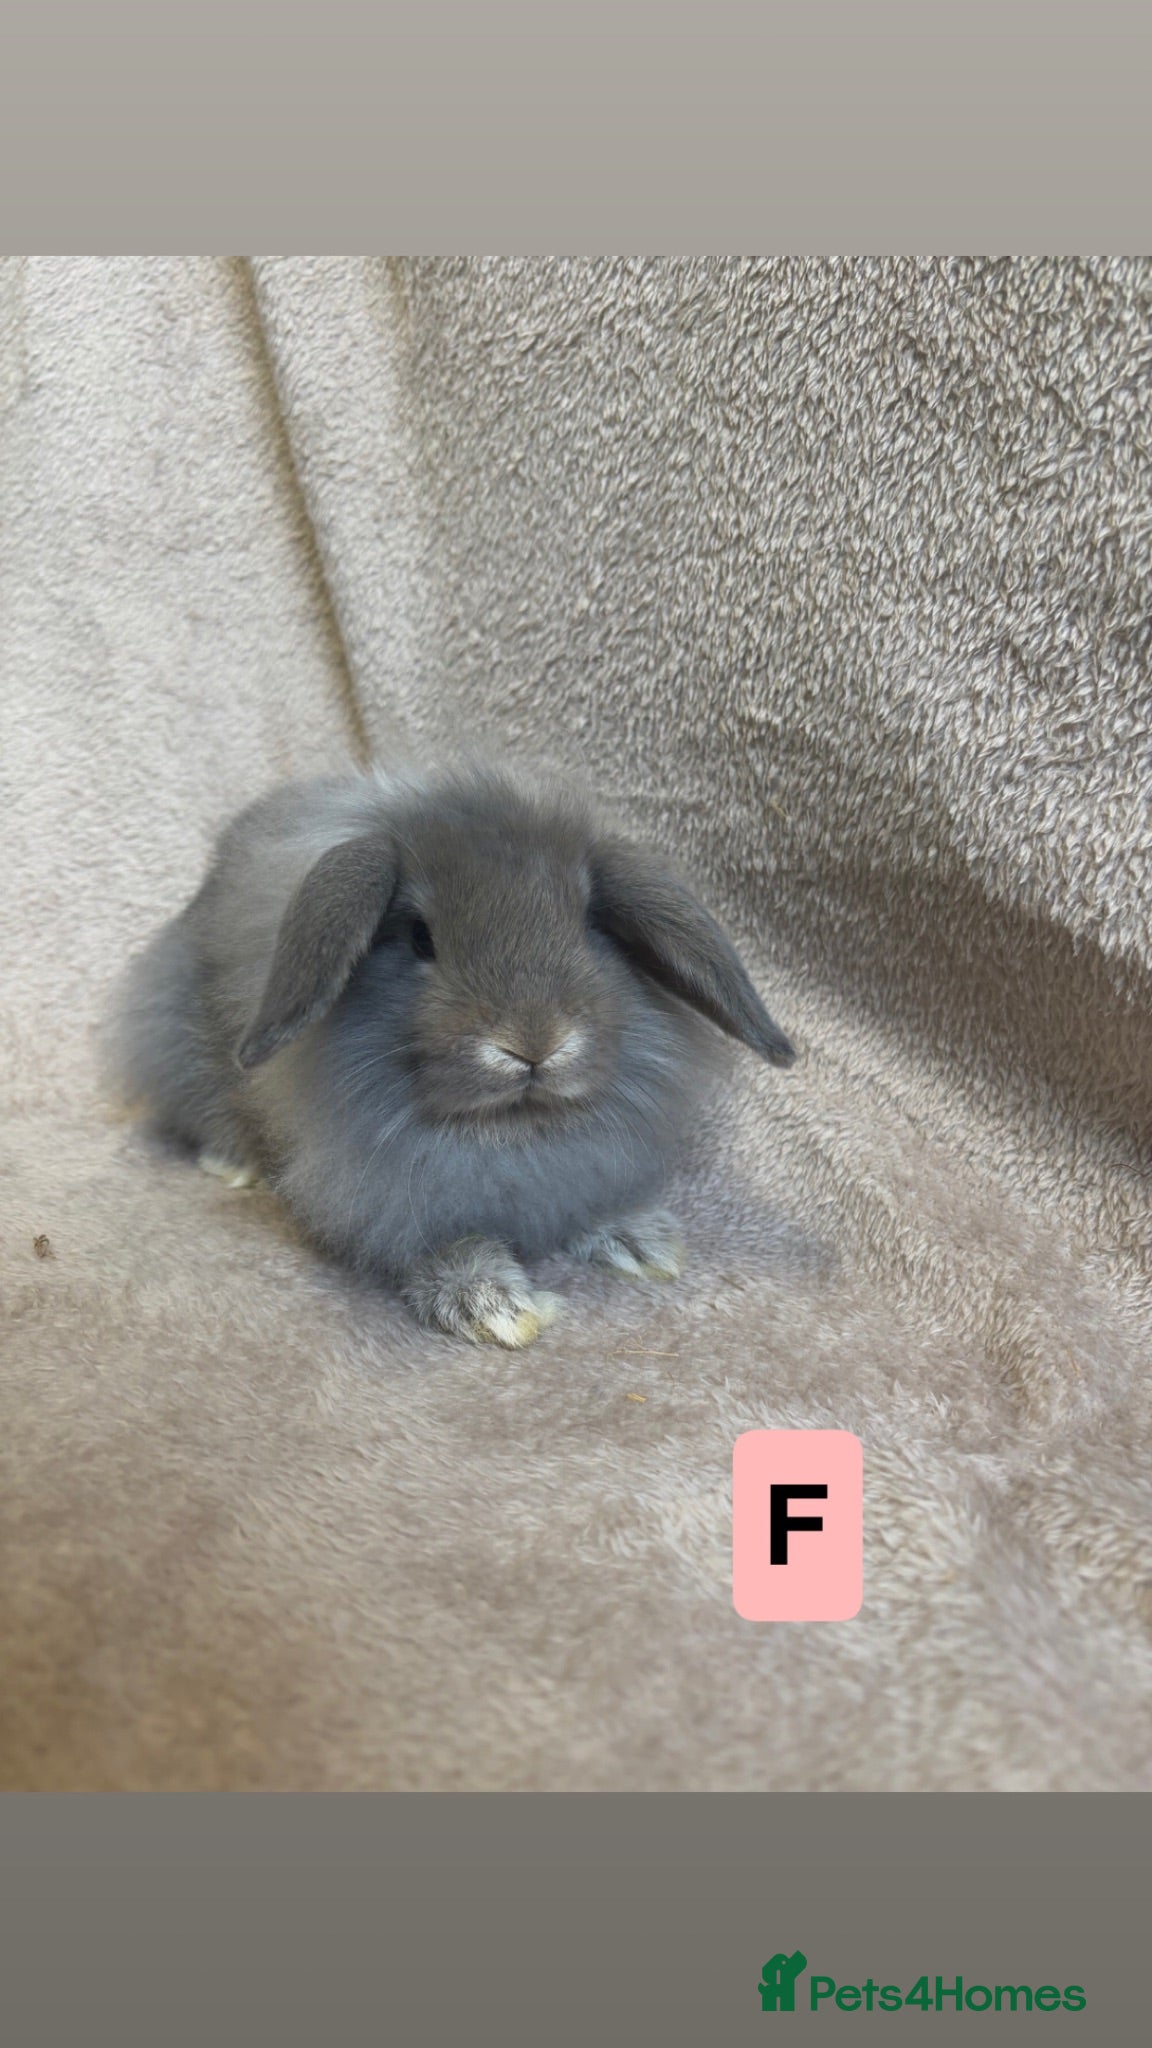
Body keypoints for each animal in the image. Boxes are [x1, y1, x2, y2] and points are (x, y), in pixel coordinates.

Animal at [108, 760, 796, 1348]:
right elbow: (443, 1250)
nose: (534, 1043)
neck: (511, 1135)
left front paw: (641, 1240)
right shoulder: (391, 1202)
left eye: (588, 927)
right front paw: (494, 1306)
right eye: (420, 937)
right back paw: (233, 1165)